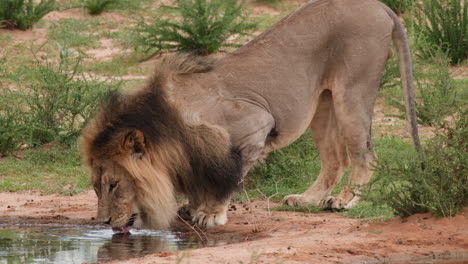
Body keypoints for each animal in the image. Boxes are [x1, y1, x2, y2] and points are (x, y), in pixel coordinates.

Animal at [80, 0, 424, 231]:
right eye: (96, 187)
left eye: (114, 184)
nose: (105, 222)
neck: (168, 127)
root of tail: (379, 6)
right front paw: (193, 208)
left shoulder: (255, 123)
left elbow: (227, 179)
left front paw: (211, 213)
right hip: (323, 103)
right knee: (335, 159)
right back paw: (307, 199)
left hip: (353, 91)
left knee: (366, 156)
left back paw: (346, 200)